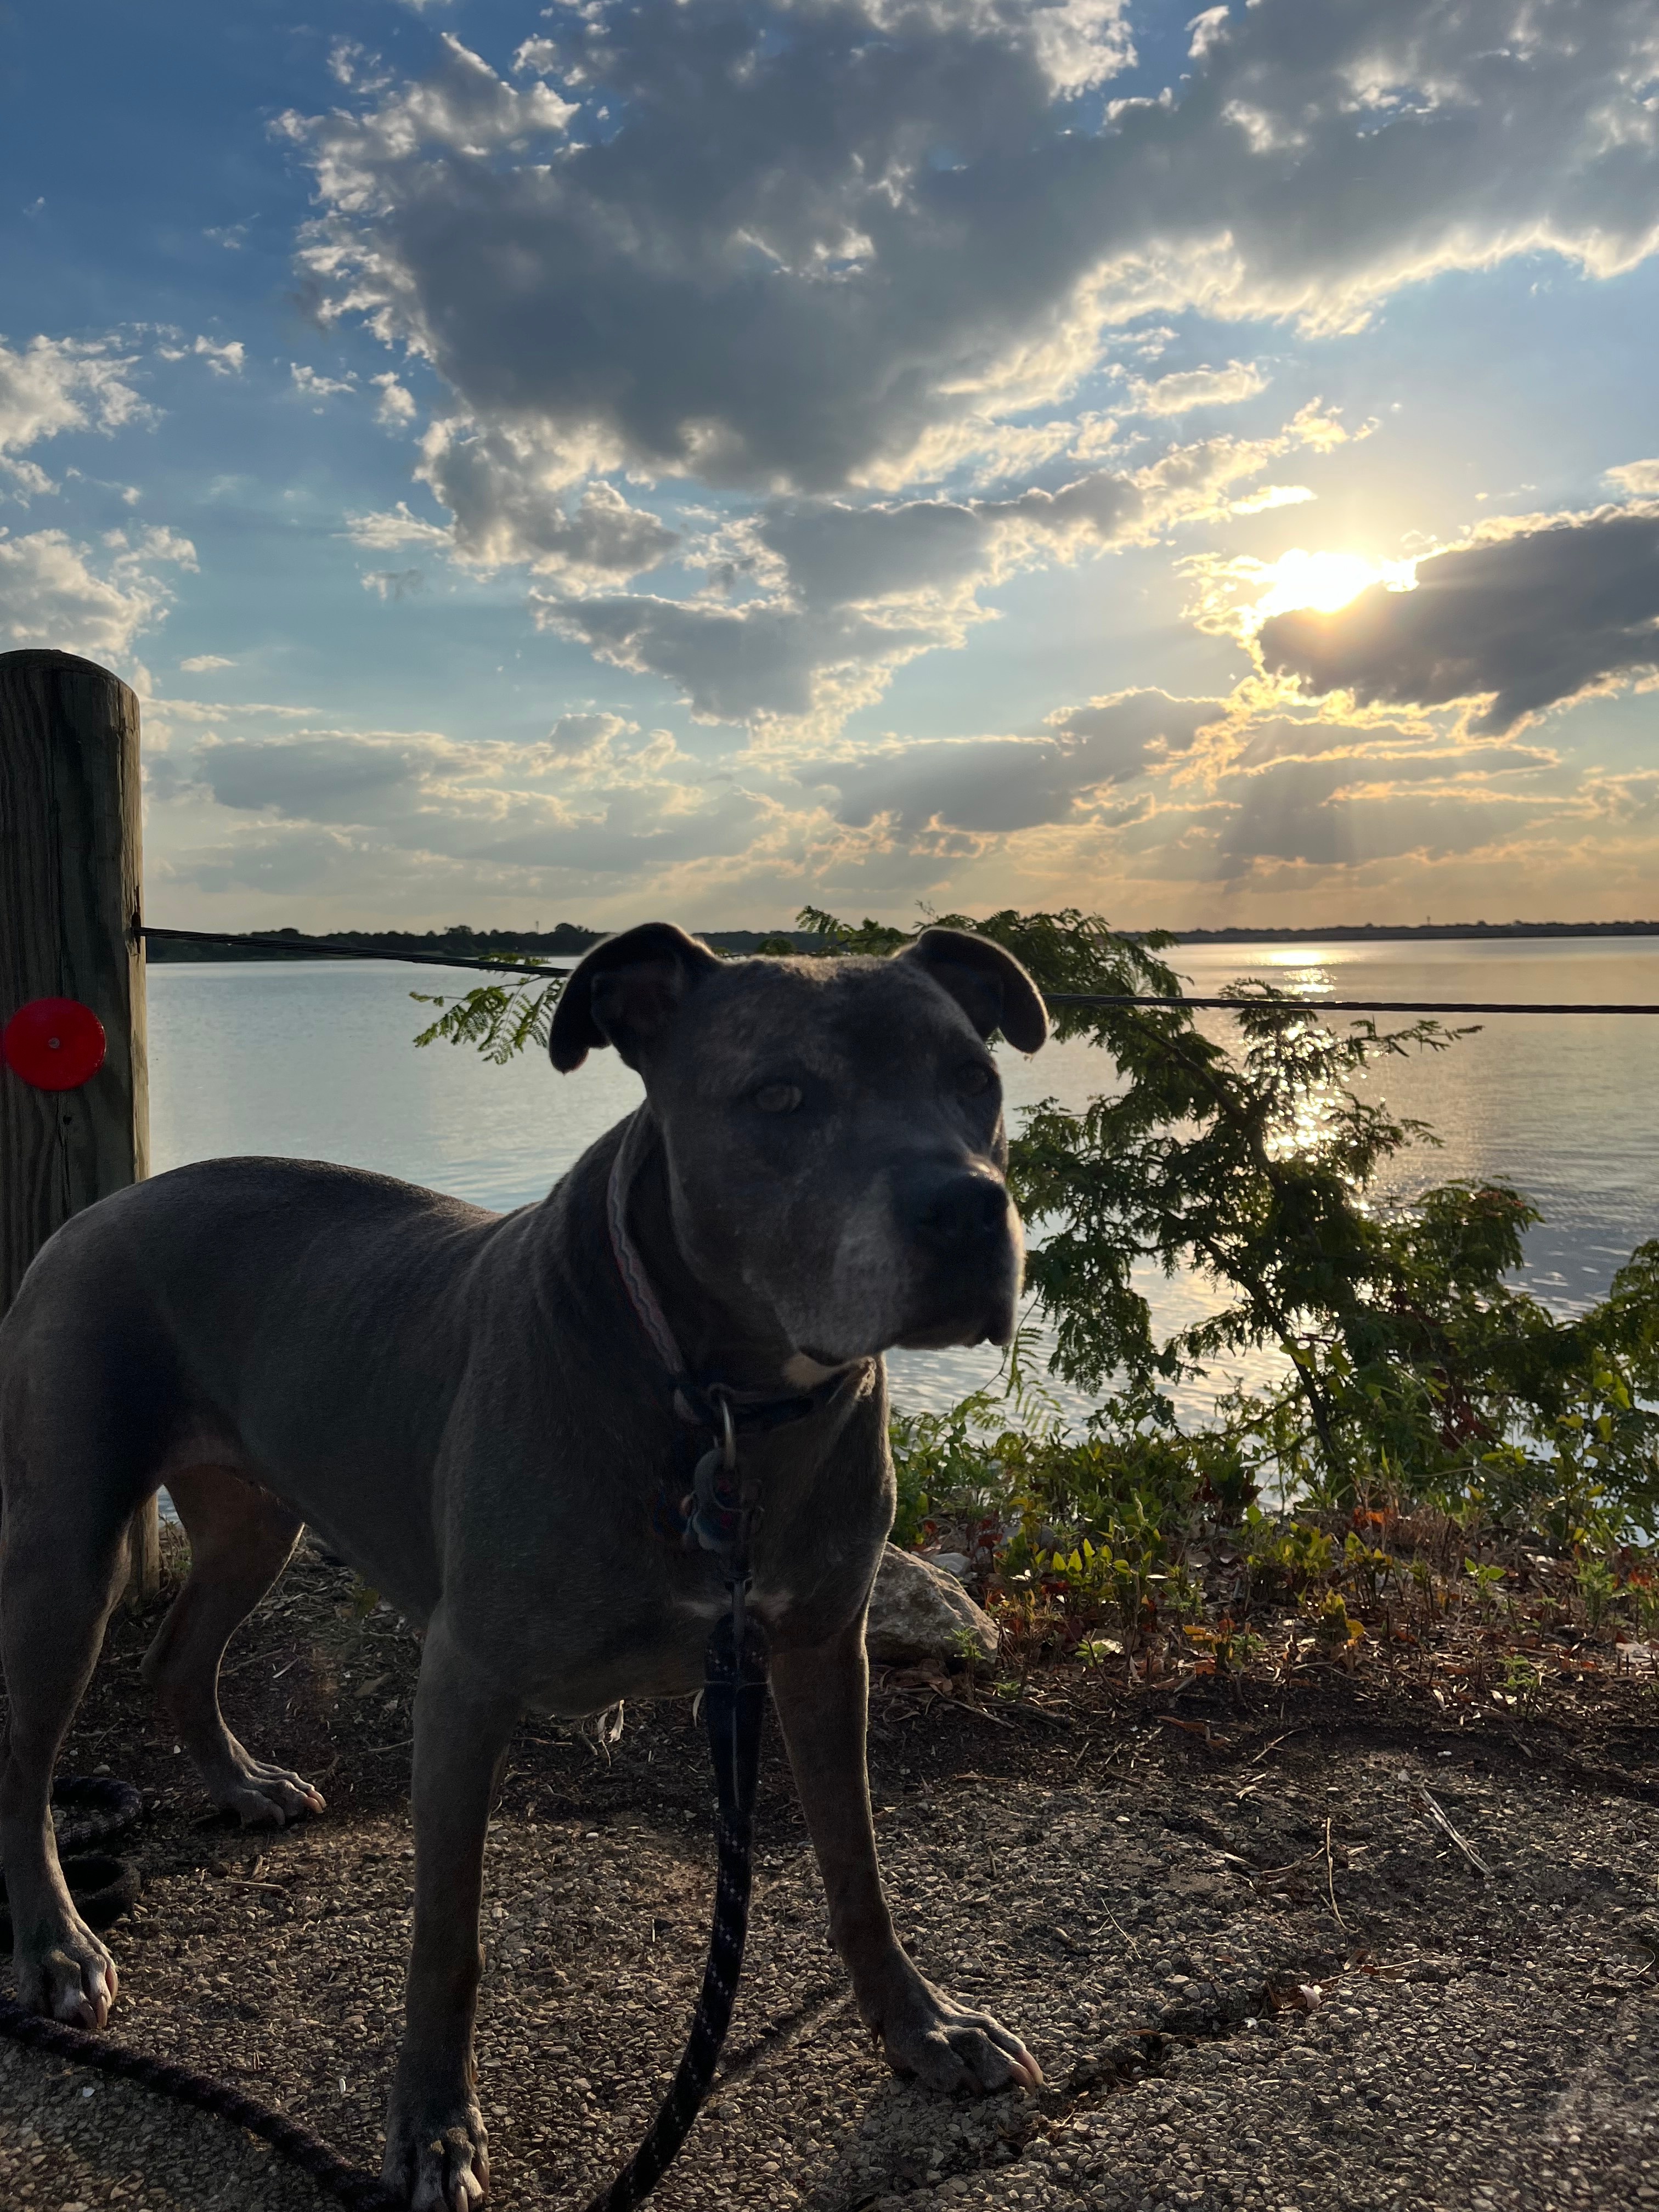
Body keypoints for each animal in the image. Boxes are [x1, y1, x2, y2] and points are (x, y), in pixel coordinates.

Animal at [3, 924, 1053, 2203]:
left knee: (176, 1657)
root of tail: (102, 1208)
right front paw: (432, 2126)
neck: (716, 1402)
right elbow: (447, 1939)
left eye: (974, 1080)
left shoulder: (818, 1648)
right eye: (780, 1096)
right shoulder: (466, 1684)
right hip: (66, 1549)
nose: (968, 1210)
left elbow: (856, 1863)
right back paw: (57, 1943)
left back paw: (243, 1784)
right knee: (26, 1756)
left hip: (256, 1520)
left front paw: (921, 2025)